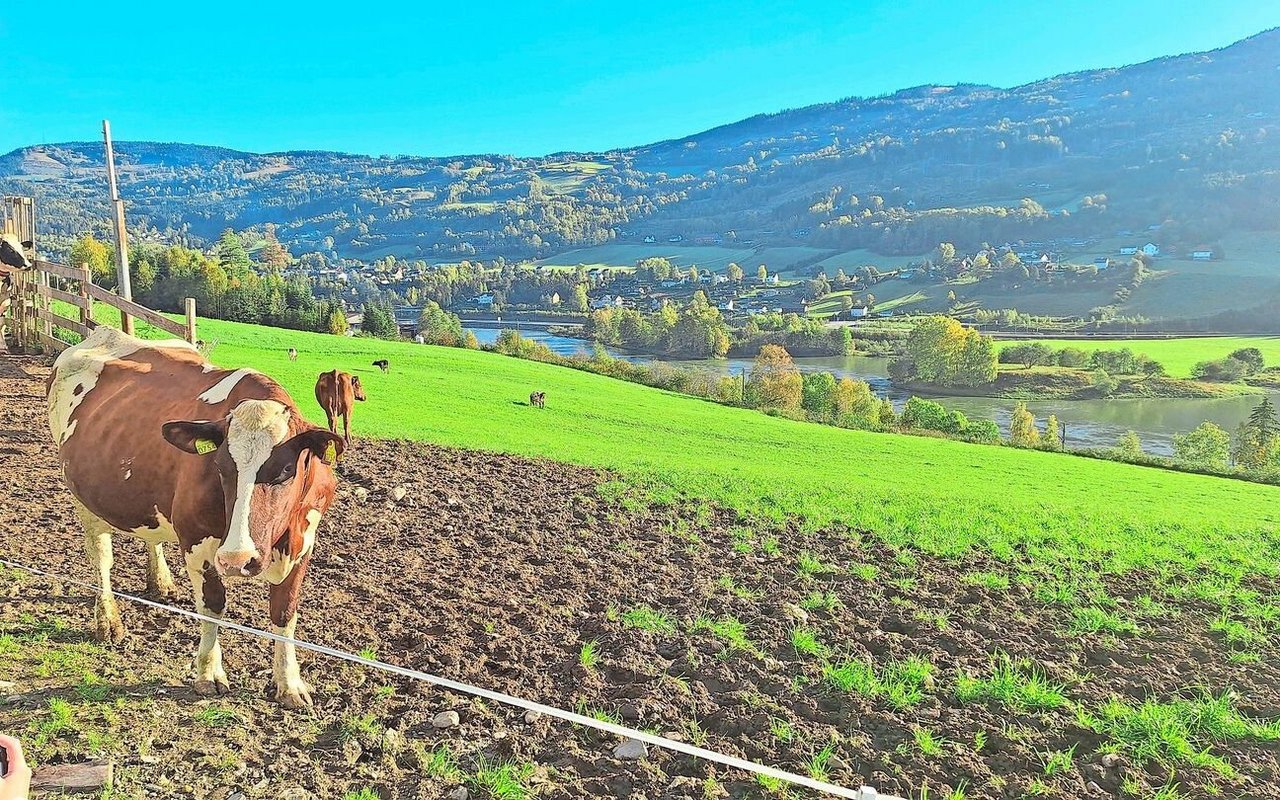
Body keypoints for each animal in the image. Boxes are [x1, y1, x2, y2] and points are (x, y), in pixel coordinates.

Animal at [48, 325, 348, 706]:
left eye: (284, 470)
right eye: (219, 466)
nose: (237, 559)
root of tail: (104, 332)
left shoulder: (302, 541)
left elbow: (284, 612)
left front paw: (289, 683)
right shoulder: (196, 541)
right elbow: (212, 606)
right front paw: (208, 673)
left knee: (151, 536)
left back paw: (161, 582)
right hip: (83, 498)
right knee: (101, 558)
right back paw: (109, 623)